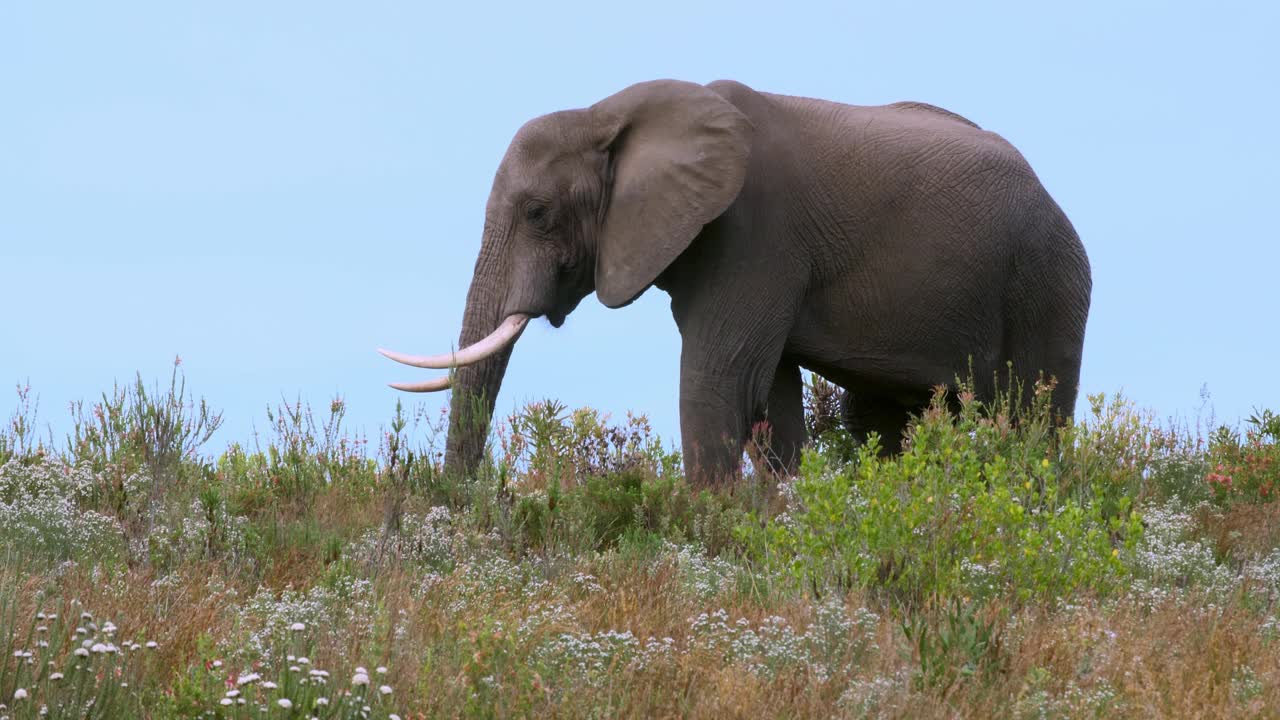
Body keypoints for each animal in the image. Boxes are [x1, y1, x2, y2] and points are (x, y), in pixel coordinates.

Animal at [378, 78, 1090, 484]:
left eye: (536, 213)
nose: (459, 508)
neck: (607, 113)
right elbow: (769, 395)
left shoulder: (753, 235)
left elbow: (719, 381)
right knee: (880, 418)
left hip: (1048, 279)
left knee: (1035, 417)